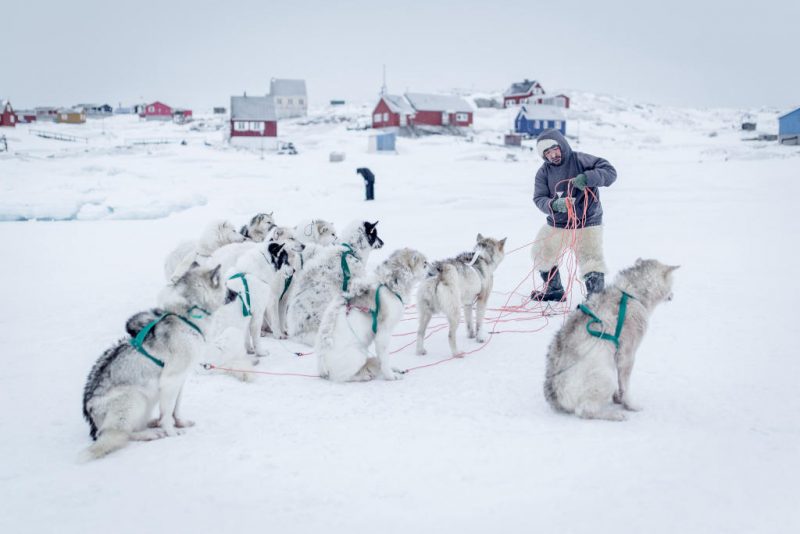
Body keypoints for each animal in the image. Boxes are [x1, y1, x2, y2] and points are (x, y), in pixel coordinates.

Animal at [82, 264, 238, 460]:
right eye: (225, 284)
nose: (237, 293)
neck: (186, 317)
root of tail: (92, 420)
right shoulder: (170, 381)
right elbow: (168, 414)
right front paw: (172, 433)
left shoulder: (180, 381)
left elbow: (173, 410)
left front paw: (179, 423)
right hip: (135, 398)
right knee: (124, 434)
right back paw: (150, 433)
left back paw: (152, 423)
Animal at [316, 249, 428, 384]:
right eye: (425, 264)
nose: (434, 269)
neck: (388, 285)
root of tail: (322, 367)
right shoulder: (383, 334)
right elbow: (384, 358)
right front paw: (391, 376)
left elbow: (382, 359)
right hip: (358, 355)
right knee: (343, 377)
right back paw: (363, 376)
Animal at [540, 260, 680, 422]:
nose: (673, 295)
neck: (632, 294)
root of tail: (555, 396)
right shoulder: (626, 355)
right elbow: (625, 386)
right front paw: (630, 405)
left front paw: (617, 398)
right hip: (606, 376)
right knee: (584, 410)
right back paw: (615, 415)